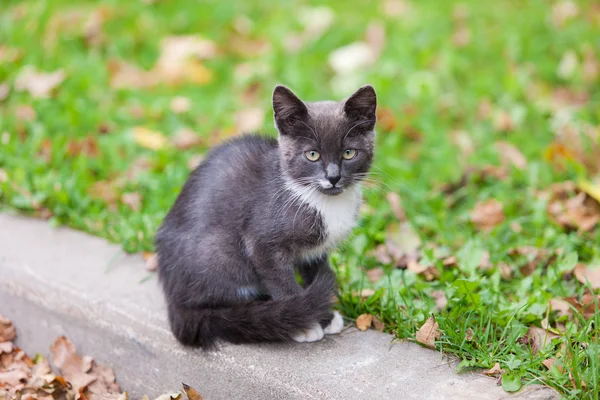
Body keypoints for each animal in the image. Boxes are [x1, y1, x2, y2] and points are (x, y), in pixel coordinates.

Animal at [155, 83, 376, 346]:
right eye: (312, 155)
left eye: (349, 153)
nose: (333, 177)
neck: (321, 200)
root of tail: (172, 300)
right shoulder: (263, 243)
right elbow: (281, 281)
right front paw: (305, 324)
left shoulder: (315, 252)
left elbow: (315, 271)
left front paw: (326, 317)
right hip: (217, 252)